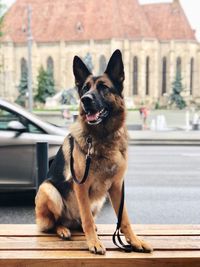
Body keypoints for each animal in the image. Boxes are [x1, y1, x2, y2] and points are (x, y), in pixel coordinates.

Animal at [35, 49, 152, 255]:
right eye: (85, 88)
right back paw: (63, 229)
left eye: (104, 87)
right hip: (49, 190)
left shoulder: (117, 186)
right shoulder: (81, 186)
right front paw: (93, 243)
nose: (85, 99)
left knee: (79, 222)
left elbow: (124, 219)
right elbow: (87, 219)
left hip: (99, 200)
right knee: (55, 223)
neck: (102, 138)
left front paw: (135, 240)